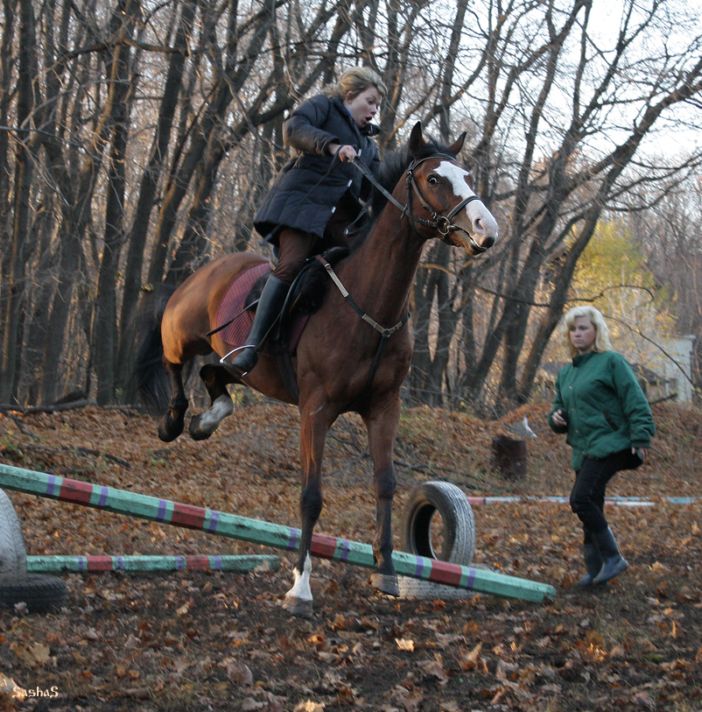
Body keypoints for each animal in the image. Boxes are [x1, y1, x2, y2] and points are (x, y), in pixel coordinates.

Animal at [136, 119, 500, 616]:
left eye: (464, 174)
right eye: (434, 179)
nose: (487, 229)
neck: (369, 306)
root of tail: (212, 267)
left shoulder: (384, 409)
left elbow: (385, 483)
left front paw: (387, 569)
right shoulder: (317, 410)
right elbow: (311, 497)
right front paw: (300, 587)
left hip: (244, 365)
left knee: (216, 375)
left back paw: (206, 420)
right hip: (182, 327)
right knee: (173, 362)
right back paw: (173, 420)